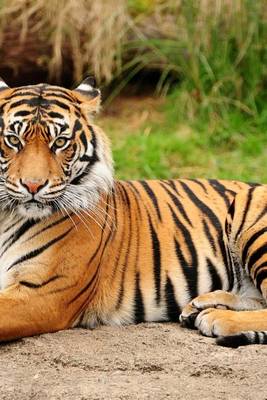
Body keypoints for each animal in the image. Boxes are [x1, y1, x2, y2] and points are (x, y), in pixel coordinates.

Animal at [0, 76, 266, 346]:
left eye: (60, 142)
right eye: (13, 140)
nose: (33, 185)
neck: (6, 215)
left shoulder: (46, 292)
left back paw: (216, 317)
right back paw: (200, 305)